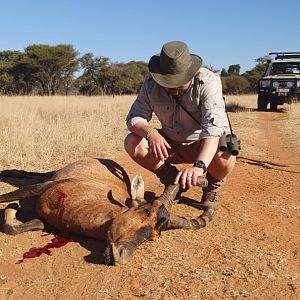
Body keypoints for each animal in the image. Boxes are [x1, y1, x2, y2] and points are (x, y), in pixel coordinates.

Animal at [0, 157, 209, 264]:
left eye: (153, 237)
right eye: (147, 211)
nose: (122, 255)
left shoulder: (48, 224)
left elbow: (13, 227)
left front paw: (13, 207)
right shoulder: (42, 189)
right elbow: (15, 194)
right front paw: (13, 204)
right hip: (56, 175)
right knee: (37, 176)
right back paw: (8, 172)